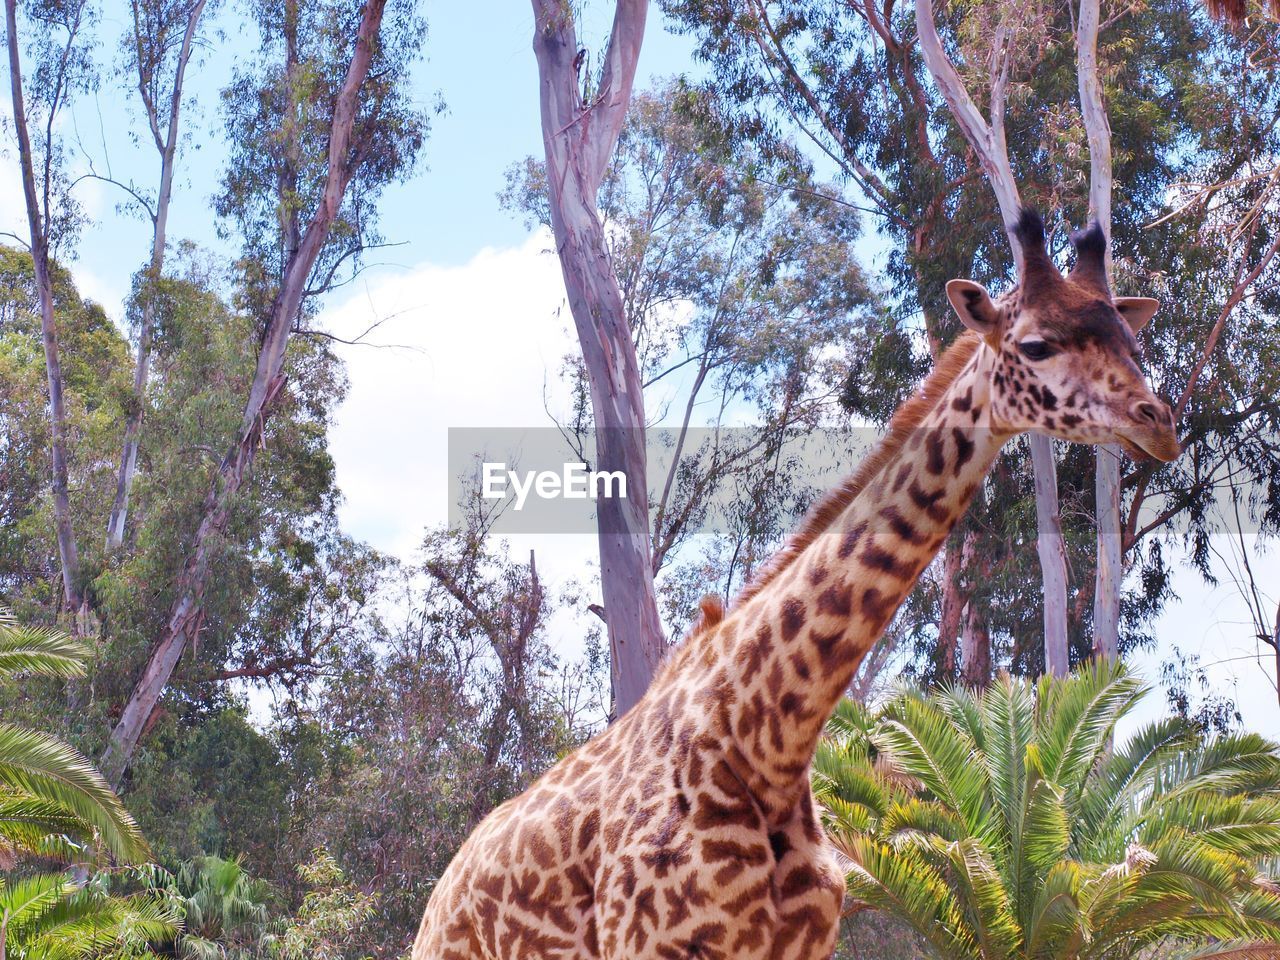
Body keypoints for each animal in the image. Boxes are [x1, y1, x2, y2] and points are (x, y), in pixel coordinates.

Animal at [409, 212, 1177, 960]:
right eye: (1037, 345)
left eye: (1129, 339)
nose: (1160, 423)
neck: (770, 740)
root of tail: (441, 891)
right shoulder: (647, 942)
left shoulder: (798, 943)